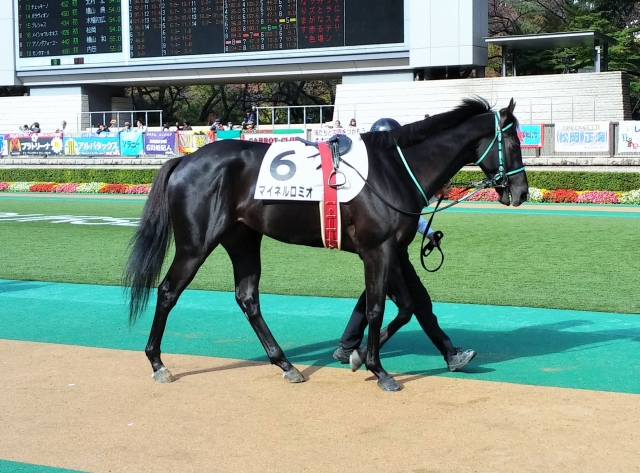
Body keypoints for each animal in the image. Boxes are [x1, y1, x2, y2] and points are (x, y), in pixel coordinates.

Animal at [124, 97, 529, 392]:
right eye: (513, 142)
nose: (522, 192)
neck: (392, 169)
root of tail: (185, 160)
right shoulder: (377, 250)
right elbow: (378, 308)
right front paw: (378, 369)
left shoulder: (393, 250)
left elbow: (411, 305)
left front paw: (363, 354)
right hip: (196, 244)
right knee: (168, 292)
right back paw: (158, 362)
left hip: (243, 239)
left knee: (247, 297)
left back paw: (286, 364)